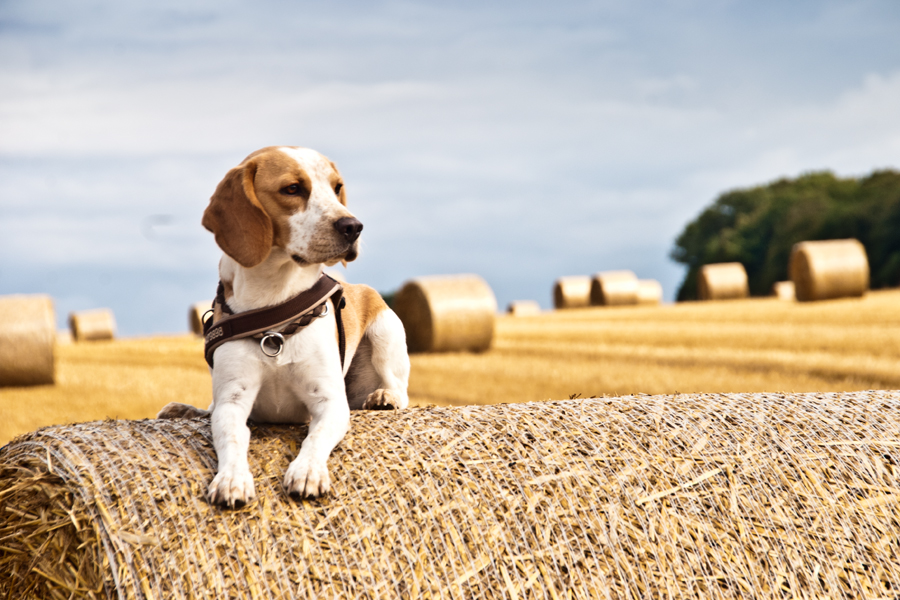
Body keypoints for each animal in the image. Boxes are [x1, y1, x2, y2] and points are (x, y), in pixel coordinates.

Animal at [159, 145, 412, 506]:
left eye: (337, 187)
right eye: (292, 189)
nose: (353, 226)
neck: (276, 304)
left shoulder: (329, 401)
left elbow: (315, 438)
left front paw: (307, 472)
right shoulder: (233, 400)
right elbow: (230, 438)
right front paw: (231, 479)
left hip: (385, 333)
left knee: (400, 390)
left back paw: (383, 397)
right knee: (209, 408)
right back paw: (184, 410)